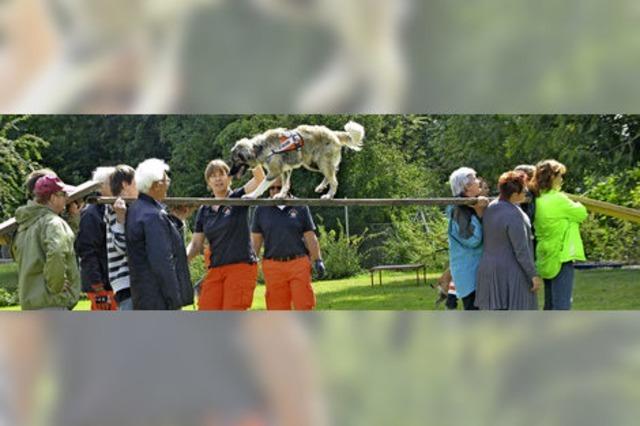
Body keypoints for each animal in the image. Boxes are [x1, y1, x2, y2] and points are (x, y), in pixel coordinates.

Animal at [230, 120, 362, 199]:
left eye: (235, 161)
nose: (230, 173)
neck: (259, 147)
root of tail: (333, 133)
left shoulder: (274, 172)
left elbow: (261, 186)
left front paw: (251, 196)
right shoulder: (285, 171)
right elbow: (285, 184)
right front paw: (281, 195)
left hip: (322, 162)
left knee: (334, 181)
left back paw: (329, 195)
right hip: (313, 164)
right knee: (333, 173)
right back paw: (321, 187)